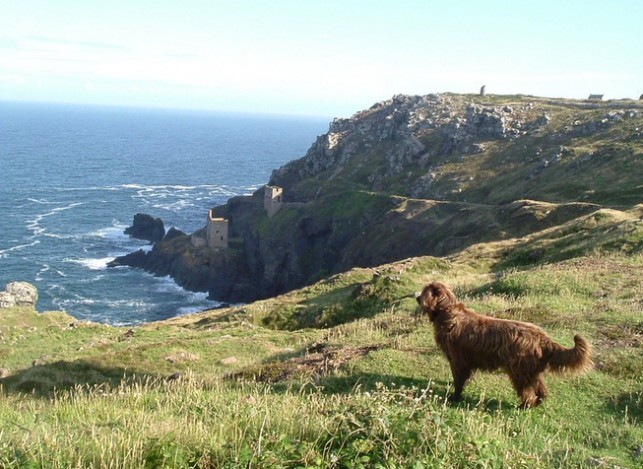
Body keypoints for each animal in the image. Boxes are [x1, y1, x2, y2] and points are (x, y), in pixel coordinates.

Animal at [418, 282, 592, 406]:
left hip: (519, 371)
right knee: (542, 390)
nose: (417, 298)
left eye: (424, 291)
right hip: (532, 371)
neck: (447, 311)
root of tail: (542, 337)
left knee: (528, 393)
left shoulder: (457, 360)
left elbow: (459, 380)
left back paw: (524, 406)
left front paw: (455, 396)